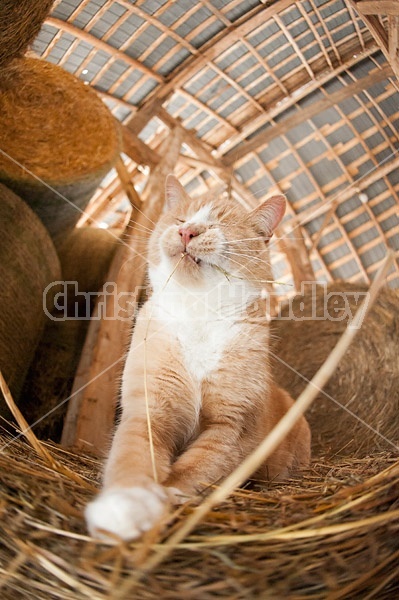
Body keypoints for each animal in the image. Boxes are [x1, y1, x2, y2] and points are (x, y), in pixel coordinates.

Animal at [85, 176, 312, 540]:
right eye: (181, 219)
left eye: (217, 224)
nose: (187, 232)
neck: (198, 311)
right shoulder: (148, 412)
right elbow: (132, 457)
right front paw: (126, 504)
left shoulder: (230, 430)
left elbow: (194, 471)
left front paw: (168, 495)